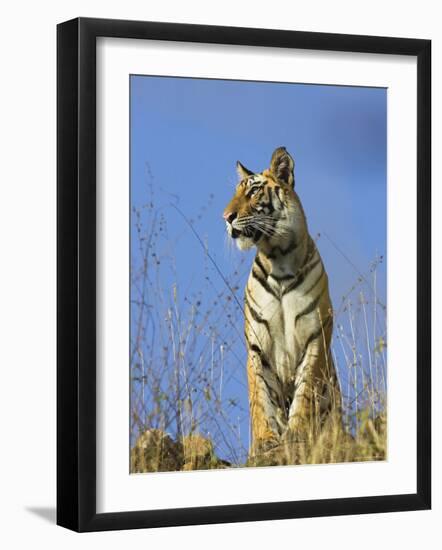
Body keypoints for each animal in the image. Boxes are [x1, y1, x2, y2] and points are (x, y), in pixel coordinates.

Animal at [224, 148, 342, 466]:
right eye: (235, 192)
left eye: (254, 191)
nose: (226, 217)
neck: (279, 257)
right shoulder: (257, 345)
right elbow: (260, 397)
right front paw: (266, 442)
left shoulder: (315, 337)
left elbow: (304, 393)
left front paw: (296, 436)